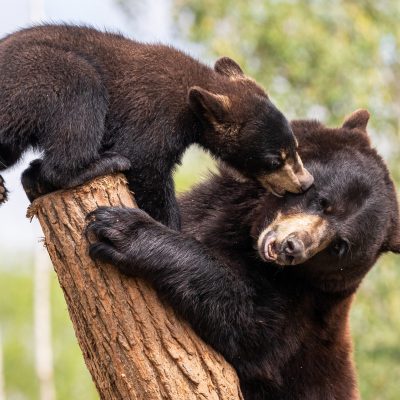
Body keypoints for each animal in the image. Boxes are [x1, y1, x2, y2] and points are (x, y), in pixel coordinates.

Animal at [0, 25, 312, 230]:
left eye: (295, 146)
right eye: (274, 160)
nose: (304, 182)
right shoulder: (155, 115)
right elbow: (145, 163)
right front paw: (171, 226)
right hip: (33, 76)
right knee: (79, 87)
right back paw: (98, 164)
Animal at [87, 109, 400, 400]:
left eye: (339, 246)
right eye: (324, 202)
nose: (292, 248)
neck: (250, 234)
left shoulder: (304, 310)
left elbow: (251, 326)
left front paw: (123, 230)